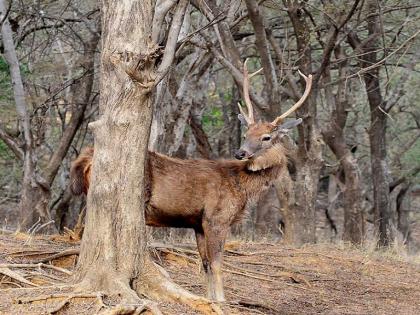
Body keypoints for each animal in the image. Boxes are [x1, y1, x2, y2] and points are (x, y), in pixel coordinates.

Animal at [69, 60, 312, 302]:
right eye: (246, 134)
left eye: (266, 137)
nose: (240, 152)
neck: (241, 187)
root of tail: (86, 157)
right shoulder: (216, 217)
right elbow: (217, 263)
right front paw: (221, 300)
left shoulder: (198, 223)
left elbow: (204, 263)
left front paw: (209, 298)